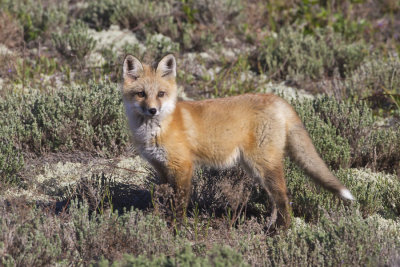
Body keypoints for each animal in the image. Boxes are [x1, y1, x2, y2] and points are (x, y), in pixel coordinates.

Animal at [120, 54, 354, 230]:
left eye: (161, 94)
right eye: (141, 94)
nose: (152, 110)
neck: (155, 131)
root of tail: (276, 98)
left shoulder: (183, 167)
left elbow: (179, 204)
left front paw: (176, 229)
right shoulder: (162, 169)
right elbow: (166, 199)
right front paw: (164, 222)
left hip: (263, 165)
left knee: (284, 198)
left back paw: (282, 232)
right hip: (255, 169)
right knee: (275, 200)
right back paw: (270, 226)